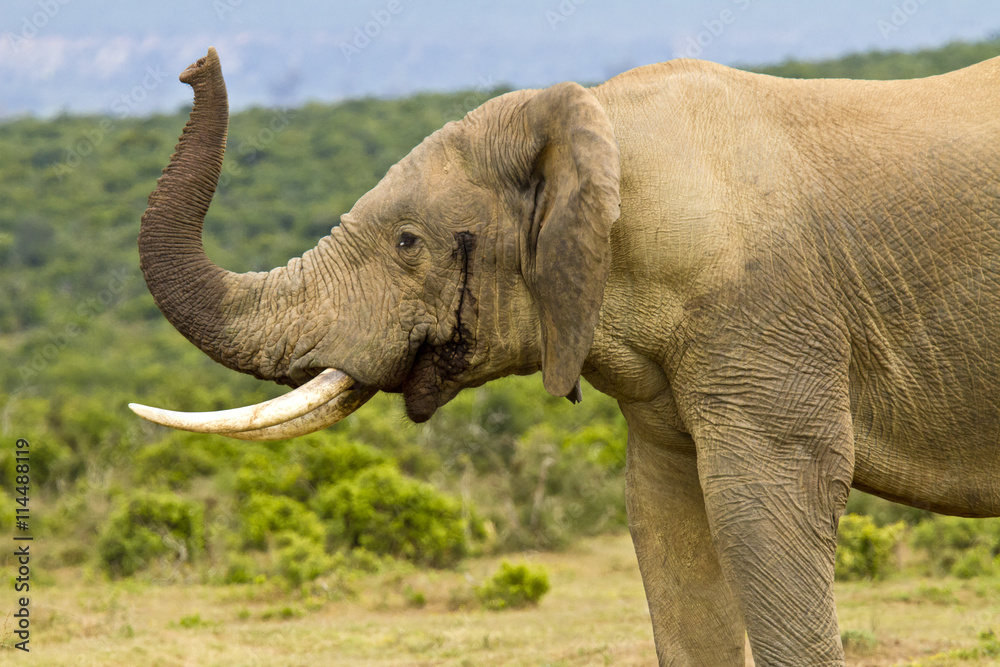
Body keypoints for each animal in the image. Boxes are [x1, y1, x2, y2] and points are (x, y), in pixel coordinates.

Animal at [130, 47, 1000, 665]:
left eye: (408, 244)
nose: (194, 64)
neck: (598, 123)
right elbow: (663, 513)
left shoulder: (762, 314)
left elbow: (769, 501)